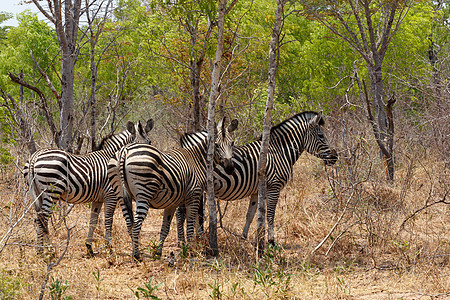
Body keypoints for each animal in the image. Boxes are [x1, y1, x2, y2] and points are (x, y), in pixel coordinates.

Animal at [24, 118, 155, 256]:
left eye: (149, 142)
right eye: (137, 145)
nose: (142, 162)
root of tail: (35, 156)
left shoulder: (98, 199)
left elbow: (93, 221)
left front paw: (89, 247)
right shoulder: (111, 195)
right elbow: (108, 220)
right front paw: (109, 247)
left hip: (37, 193)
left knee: (39, 218)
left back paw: (42, 249)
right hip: (51, 191)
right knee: (43, 218)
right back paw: (46, 250)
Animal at [107, 117, 239, 260]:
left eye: (232, 143)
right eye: (216, 144)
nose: (230, 168)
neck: (197, 159)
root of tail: (124, 151)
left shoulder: (172, 202)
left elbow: (166, 227)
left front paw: (159, 252)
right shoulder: (193, 196)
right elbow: (190, 224)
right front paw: (189, 250)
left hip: (120, 193)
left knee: (129, 224)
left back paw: (134, 251)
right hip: (144, 193)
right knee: (136, 224)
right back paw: (137, 255)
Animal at [177, 110, 338, 246]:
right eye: (321, 136)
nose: (335, 156)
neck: (278, 152)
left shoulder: (256, 190)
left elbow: (251, 215)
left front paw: (244, 238)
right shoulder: (274, 187)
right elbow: (270, 215)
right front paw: (271, 241)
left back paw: (189, 241)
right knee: (184, 213)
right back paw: (189, 242)